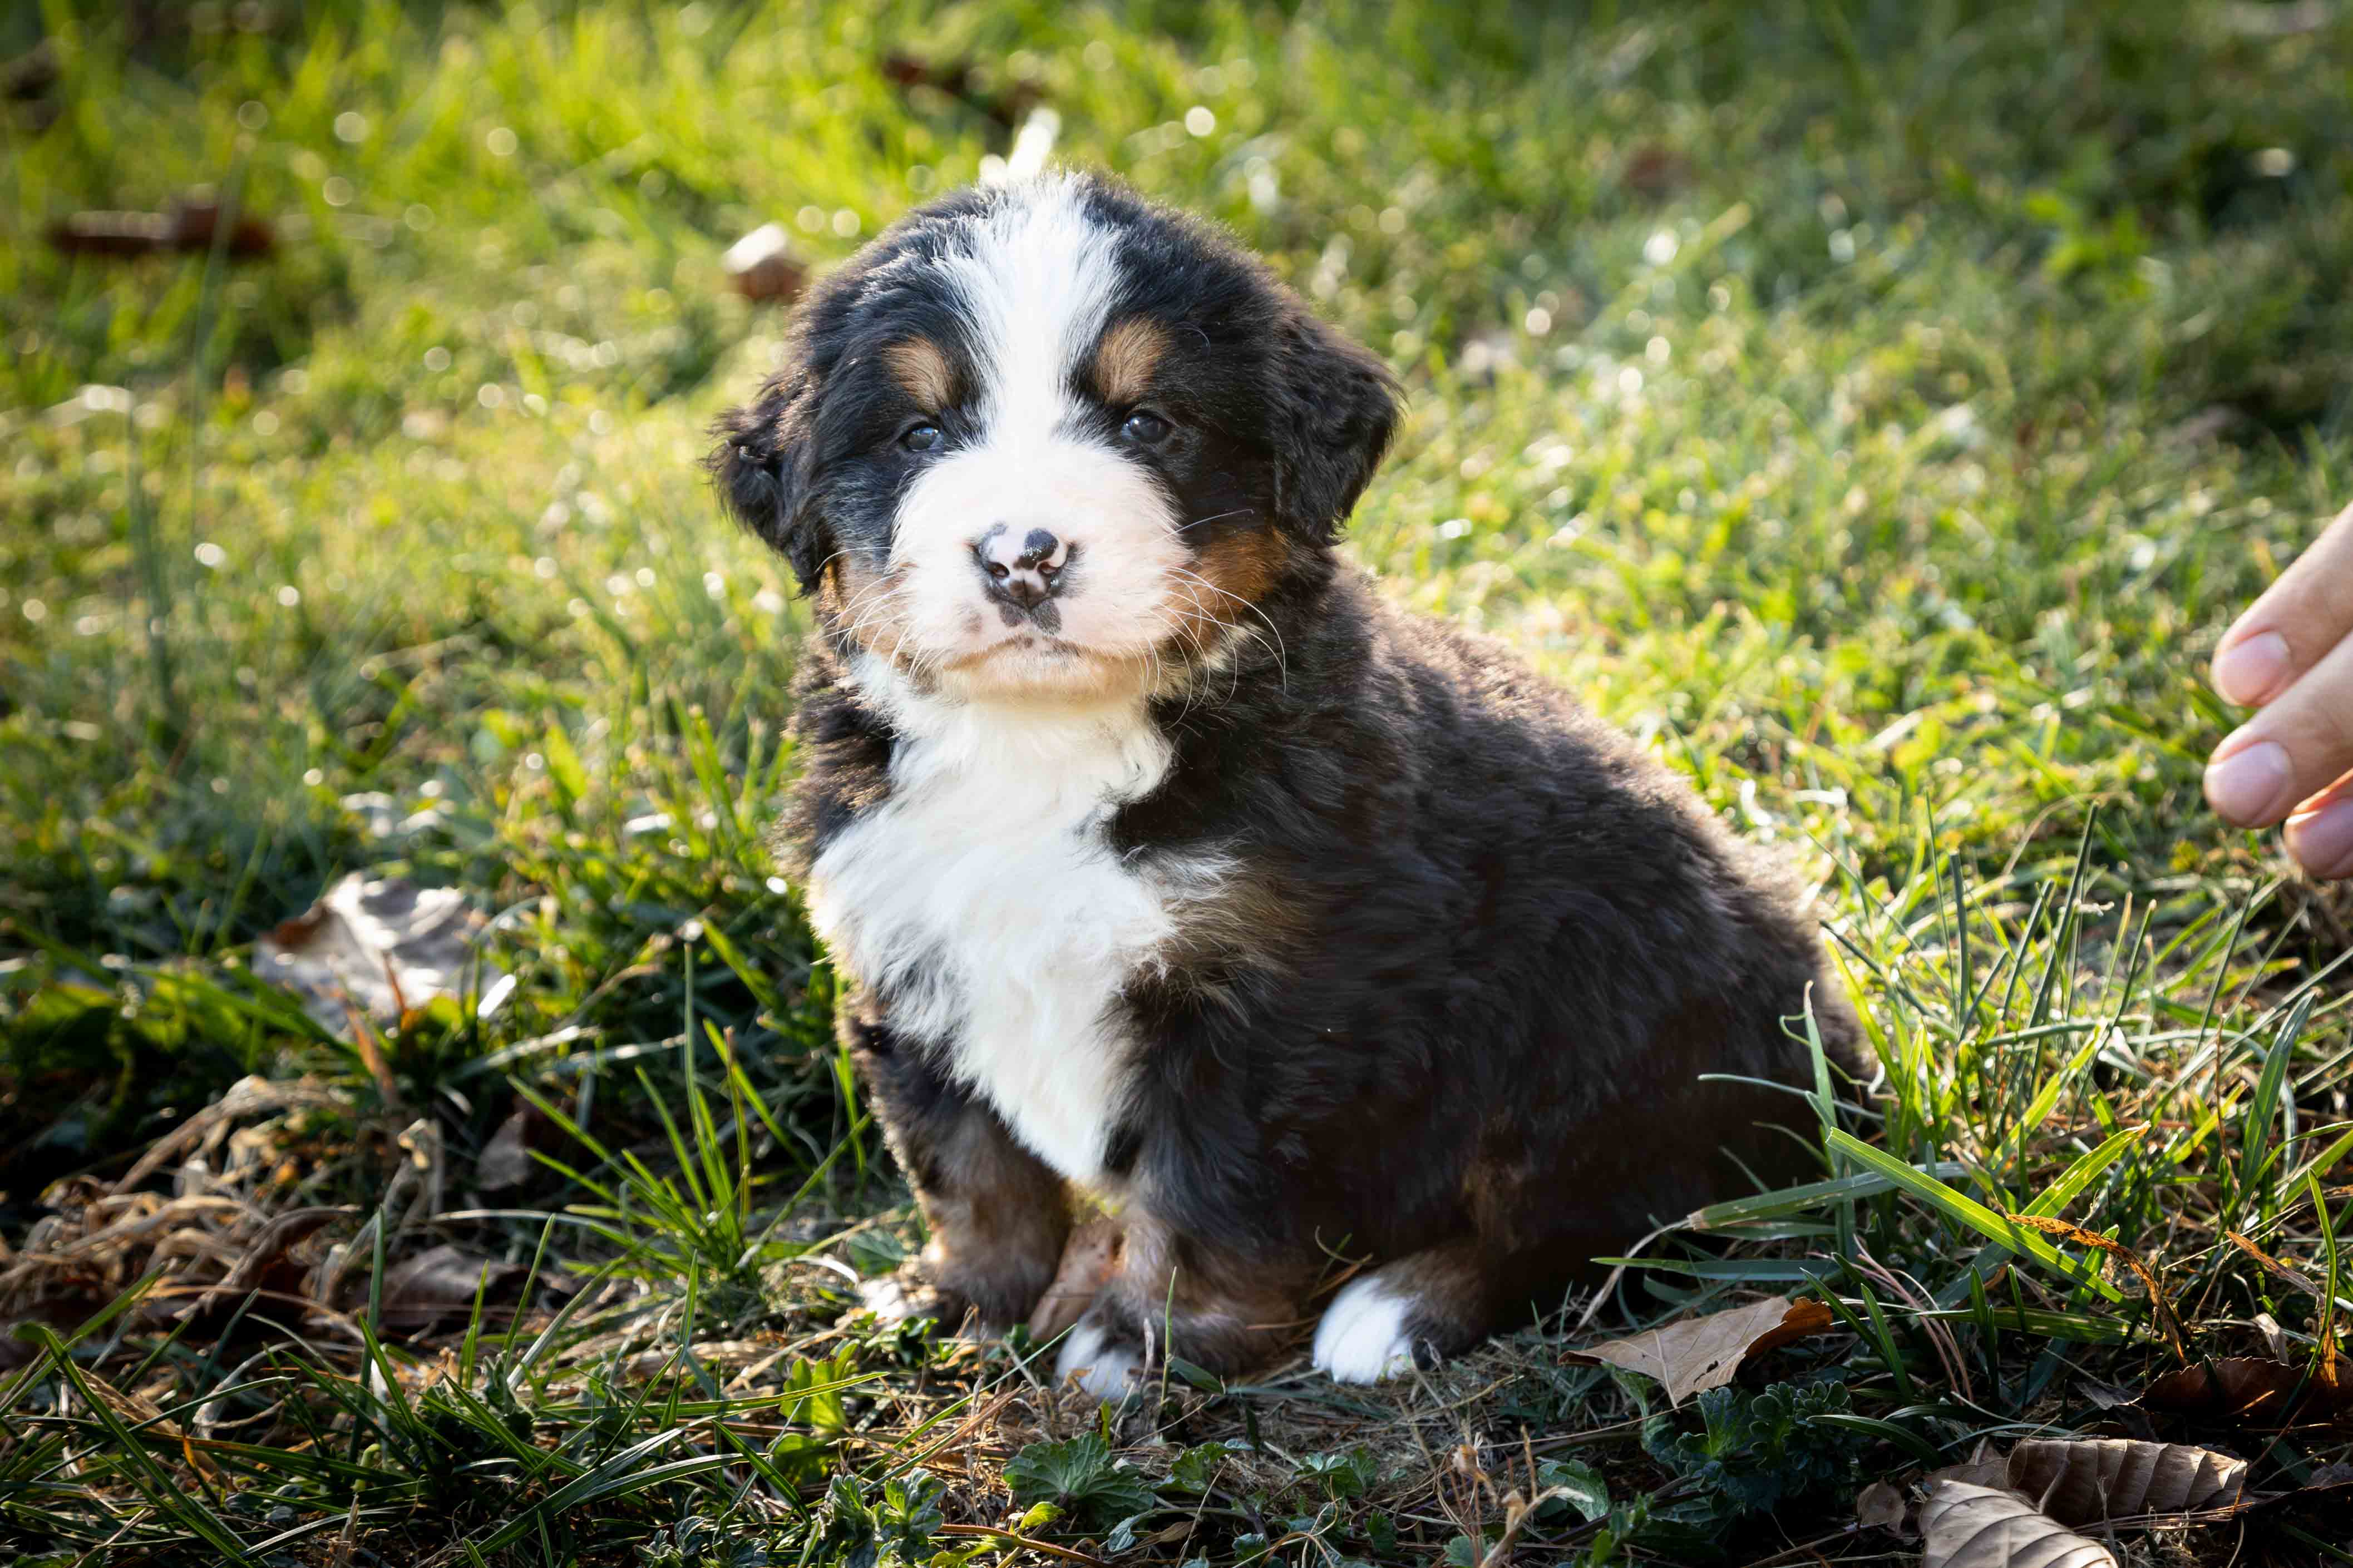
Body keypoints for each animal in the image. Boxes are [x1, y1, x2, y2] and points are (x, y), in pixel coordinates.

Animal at [706, 175, 1863, 1401]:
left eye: (1145, 423)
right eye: (918, 433)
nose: (1022, 554)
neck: (1042, 746)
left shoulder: (1273, 1005)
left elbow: (1205, 1192)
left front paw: (1140, 1340)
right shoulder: (908, 943)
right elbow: (967, 1166)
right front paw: (967, 1298)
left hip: (1613, 1009)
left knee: (1610, 1215)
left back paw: (1396, 1305)